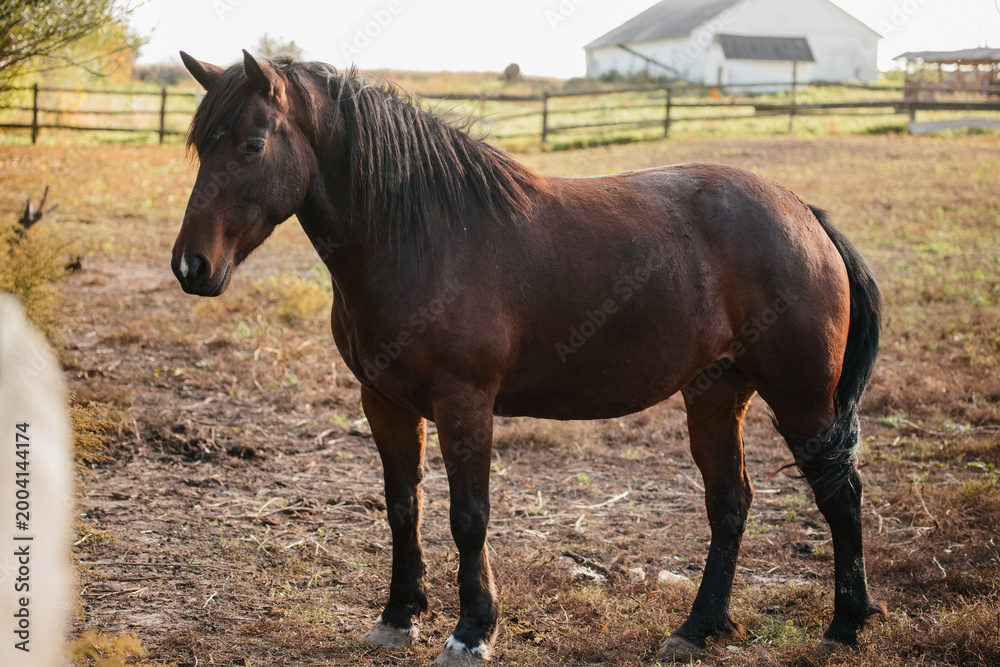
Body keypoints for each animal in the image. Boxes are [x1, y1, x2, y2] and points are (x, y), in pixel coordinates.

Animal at [172, 50, 887, 665]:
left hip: (802, 399)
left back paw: (846, 626)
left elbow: (468, 517)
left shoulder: (464, 404)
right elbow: (403, 506)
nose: (191, 266)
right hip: (716, 394)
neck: (423, 236)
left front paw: (471, 632)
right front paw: (399, 616)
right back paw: (698, 628)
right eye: (201, 145)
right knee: (730, 502)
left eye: (252, 145)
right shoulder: (384, 401)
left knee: (840, 495)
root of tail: (804, 214)